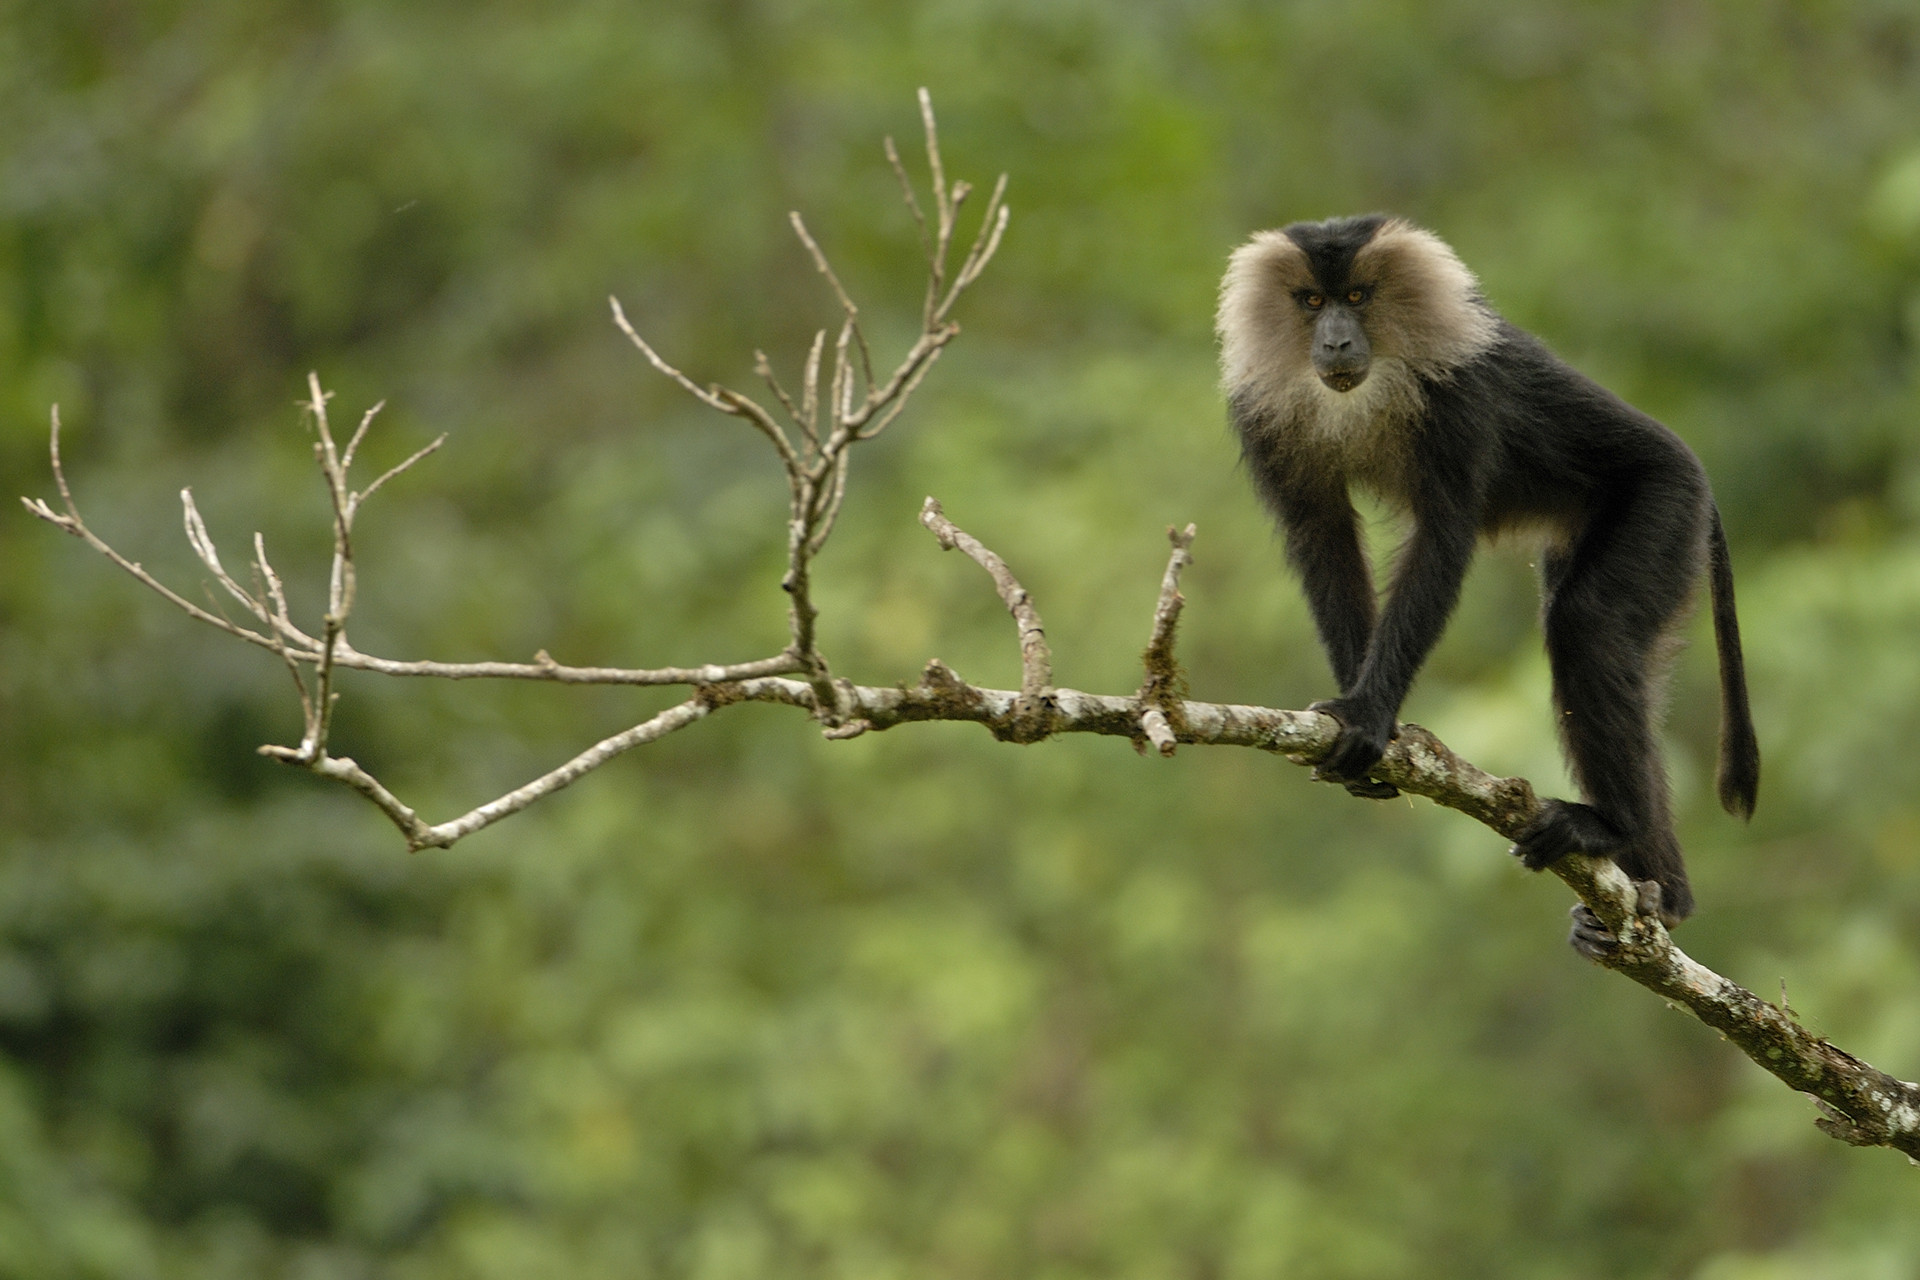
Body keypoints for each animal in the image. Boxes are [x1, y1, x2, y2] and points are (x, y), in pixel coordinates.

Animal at [1216, 214, 1758, 954]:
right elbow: (1321, 537)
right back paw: (1662, 897)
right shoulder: (1265, 415)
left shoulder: (1457, 396)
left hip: (1665, 502)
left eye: (1357, 297)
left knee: (1587, 624)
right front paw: (1369, 727)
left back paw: (1610, 831)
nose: (1334, 340)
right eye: (1310, 301)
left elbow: (1443, 537)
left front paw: (1369, 712)